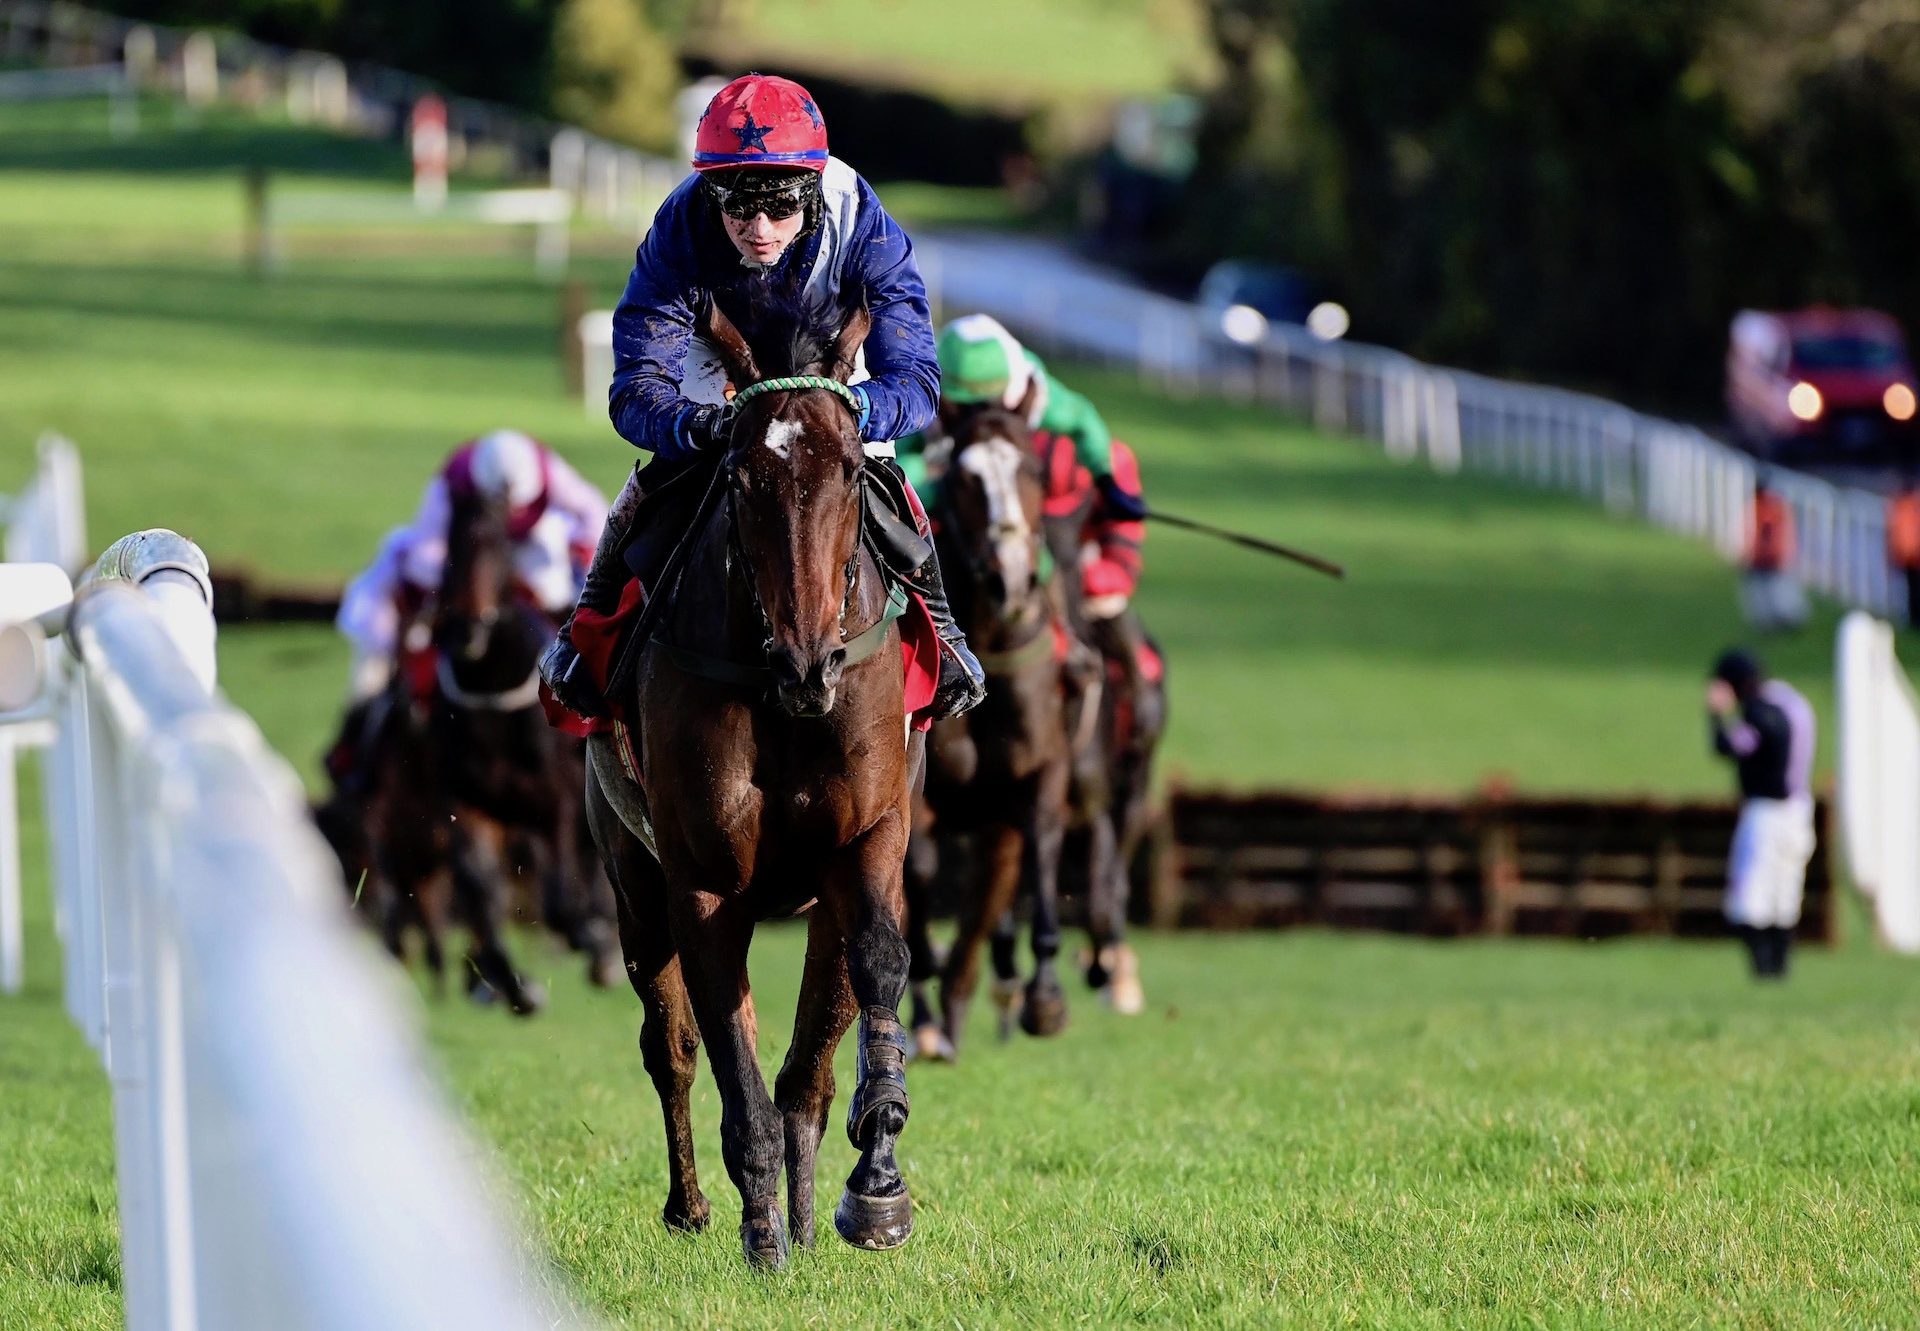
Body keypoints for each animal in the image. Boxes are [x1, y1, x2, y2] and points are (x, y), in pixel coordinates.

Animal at [576, 295, 921, 1259]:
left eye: (852, 468)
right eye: (737, 475)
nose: (810, 665)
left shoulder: (867, 835)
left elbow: (876, 967)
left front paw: (875, 1184)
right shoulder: (700, 878)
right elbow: (725, 1050)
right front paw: (761, 1232)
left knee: (808, 1070)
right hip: (631, 879)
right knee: (671, 1046)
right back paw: (695, 1205)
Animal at [906, 399, 1075, 1052]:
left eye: (1036, 471)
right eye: (963, 478)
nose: (1011, 579)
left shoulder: (1041, 774)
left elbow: (1044, 850)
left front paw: (1045, 997)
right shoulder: (920, 794)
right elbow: (919, 874)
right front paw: (924, 1012)